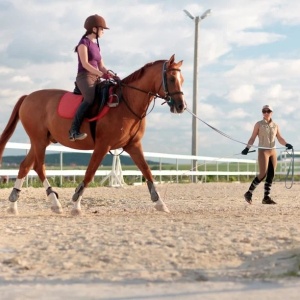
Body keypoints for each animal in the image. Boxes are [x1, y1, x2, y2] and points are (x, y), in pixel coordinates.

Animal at [0, 54, 186, 216]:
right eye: (171, 79)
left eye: (182, 80)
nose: (181, 106)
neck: (126, 103)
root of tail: (27, 97)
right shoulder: (103, 145)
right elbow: (90, 173)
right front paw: (76, 206)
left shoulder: (133, 145)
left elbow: (147, 171)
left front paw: (160, 203)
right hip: (38, 140)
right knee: (39, 167)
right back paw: (55, 203)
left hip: (41, 141)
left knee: (25, 166)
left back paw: (13, 206)